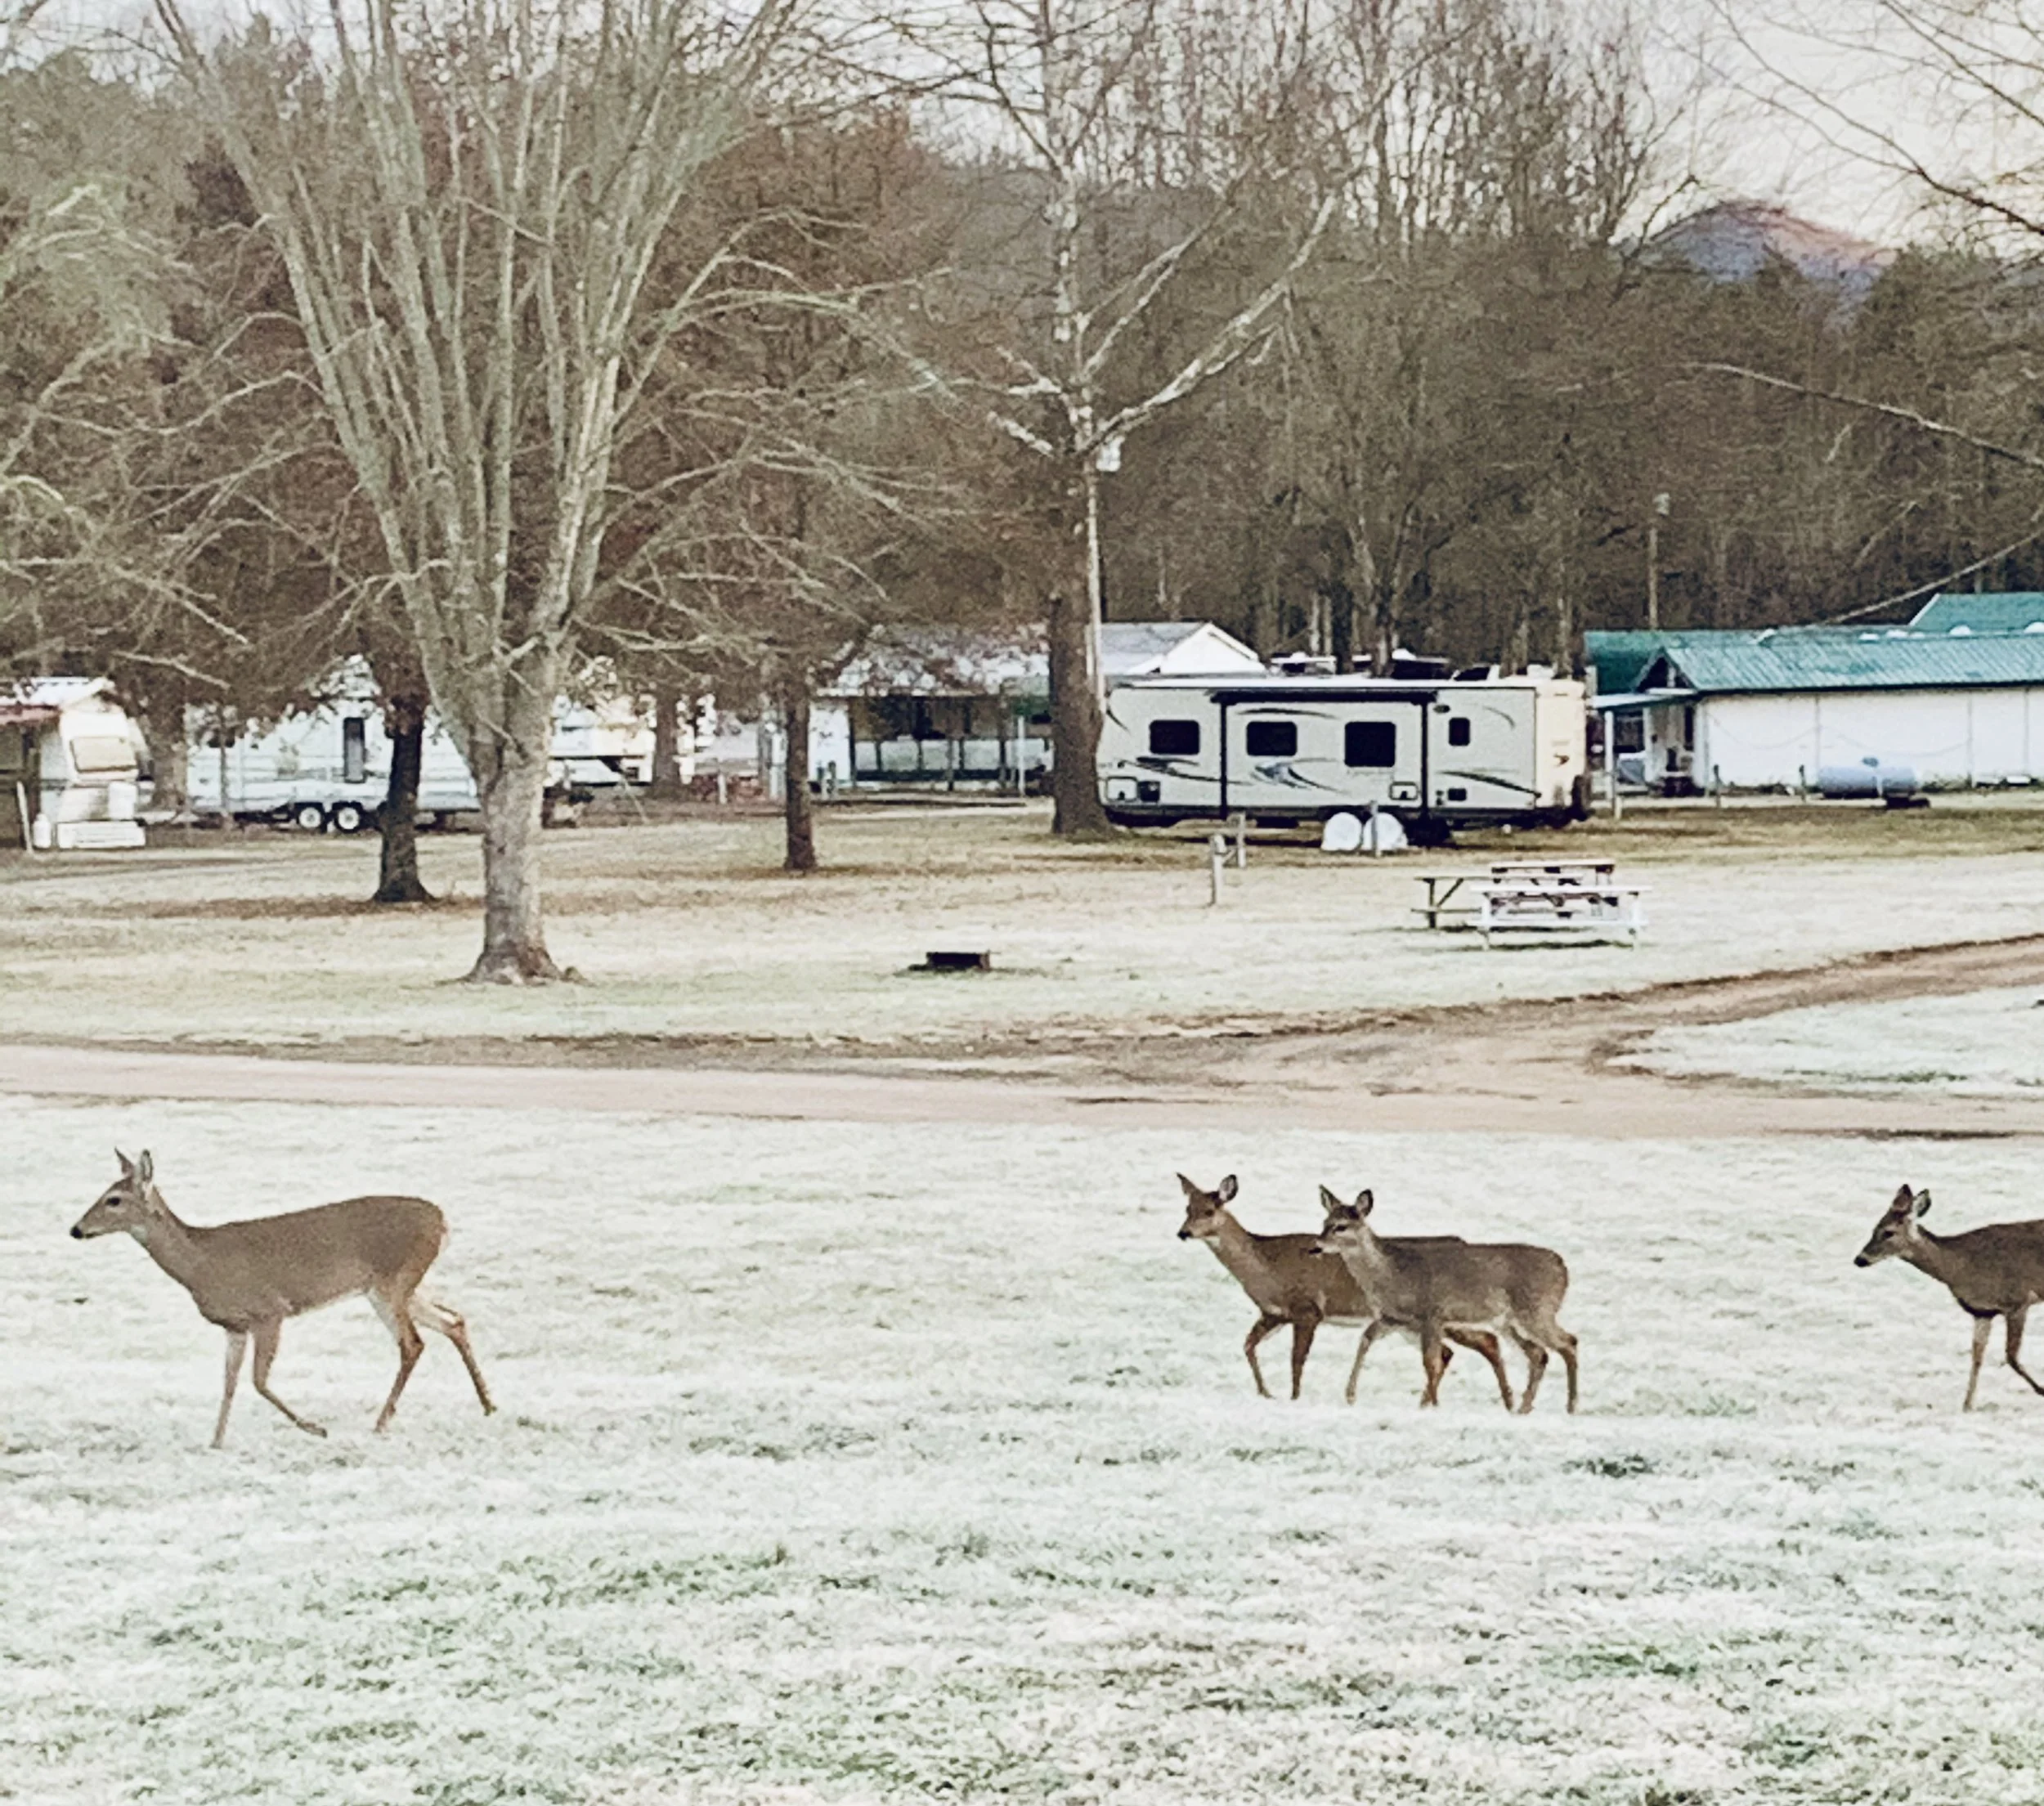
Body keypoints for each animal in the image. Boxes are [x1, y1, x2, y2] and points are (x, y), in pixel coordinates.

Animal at [70, 1149, 495, 1448]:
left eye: (113, 1199)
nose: (76, 1230)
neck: (200, 1265)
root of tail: (442, 1221)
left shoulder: (270, 1311)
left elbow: (258, 1381)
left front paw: (315, 1428)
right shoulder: (234, 1326)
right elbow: (229, 1382)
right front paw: (216, 1441)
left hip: (392, 1281)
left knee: (413, 1343)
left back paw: (381, 1423)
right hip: (396, 1287)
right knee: (453, 1321)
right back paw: (488, 1404)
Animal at [1175, 1173, 1516, 1407]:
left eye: (1209, 1211)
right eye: (1187, 1207)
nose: (1183, 1233)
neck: (1266, 1265)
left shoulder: (1308, 1309)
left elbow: (1296, 1360)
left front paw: (1294, 1398)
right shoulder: (1273, 1313)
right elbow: (1248, 1346)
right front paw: (1266, 1393)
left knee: (1479, 1344)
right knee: (1461, 1349)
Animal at [1314, 1186, 1579, 1414]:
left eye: (1341, 1227)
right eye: (1324, 1223)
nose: (1316, 1247)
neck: (1393, 1273)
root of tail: (1564, 1268)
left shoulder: (1432, 1314)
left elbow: (1431, 1362)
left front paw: (1432, 1405)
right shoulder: (1394, 1319)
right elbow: (1366, 1340)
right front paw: (1350, 1396)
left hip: (1537, 1310)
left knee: (1569, 1342)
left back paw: (1571, 1406)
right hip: (1508, 1322)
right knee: (1539, 1353)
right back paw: (1524, 1407)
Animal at [1855, 1183, 2044, 1411]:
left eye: (1888, 1233)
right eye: (1873, 1229)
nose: (1859, 1260)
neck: (1960, 1267)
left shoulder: (2018, 1300)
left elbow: (2011, 1356)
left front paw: (2042, 1390)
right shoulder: (1982, 1312)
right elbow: (1977, 1357)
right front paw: (1967, 1406)